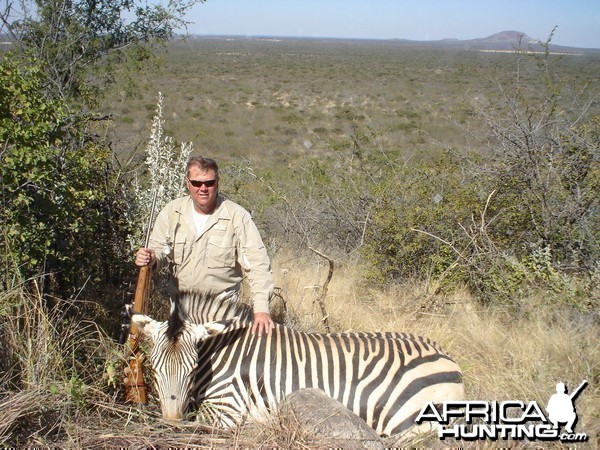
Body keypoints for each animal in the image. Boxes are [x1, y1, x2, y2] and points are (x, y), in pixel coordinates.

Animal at [132, 292, 464, 436]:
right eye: (155, 369)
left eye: (191, 370)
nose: (171, 421)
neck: (225, 350)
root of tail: (447, 357)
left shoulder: (227, 409)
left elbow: (197, 418)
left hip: (405, 422)